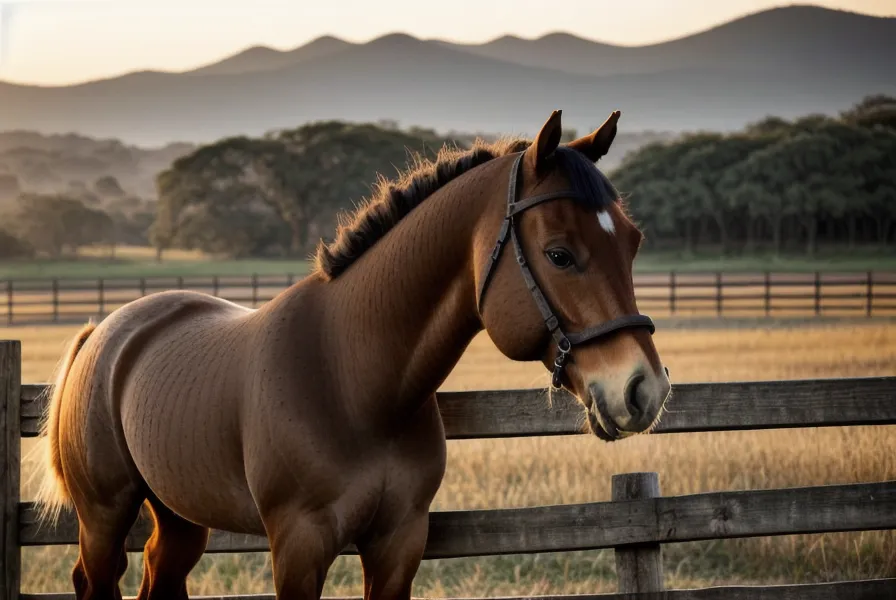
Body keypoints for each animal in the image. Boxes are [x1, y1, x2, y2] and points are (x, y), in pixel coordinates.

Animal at [34, 109, 672, 600]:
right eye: (559, 253)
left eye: (633, 243)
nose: (644, 389)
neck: (354, 380)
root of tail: (105, 332)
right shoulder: (298, 547)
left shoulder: (397, 545)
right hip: (103, 517)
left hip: (180, 517)